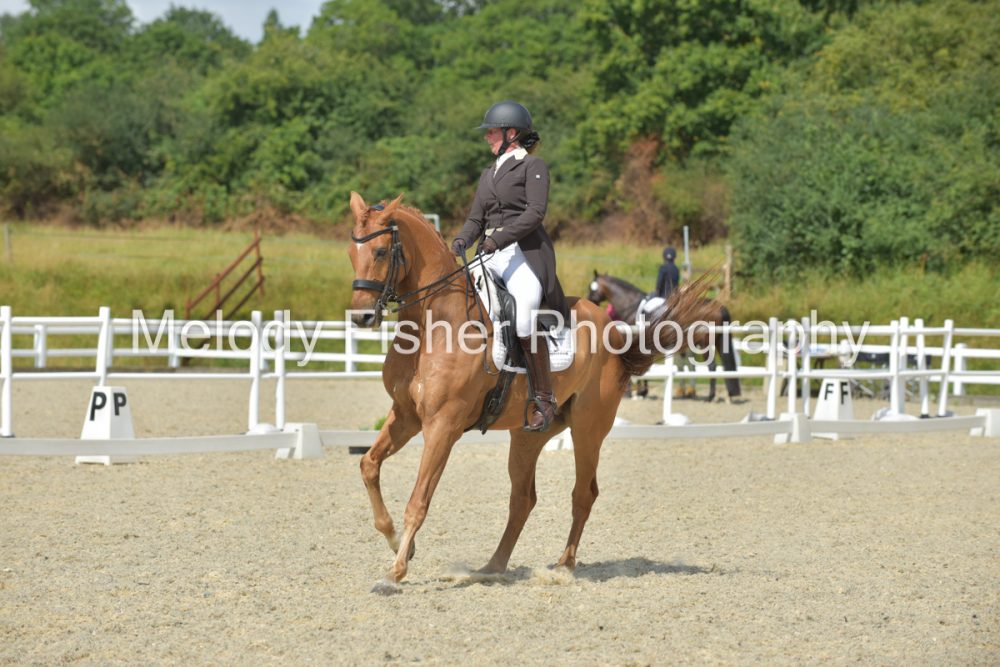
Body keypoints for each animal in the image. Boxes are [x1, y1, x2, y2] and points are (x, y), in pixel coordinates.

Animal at [347, 192, 719, 594]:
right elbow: (368, 466)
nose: (361, 318)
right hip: (528, 435)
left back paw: (562, 566)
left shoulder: (442, 425)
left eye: (381, 251)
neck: (435, 324)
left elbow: (419, 500)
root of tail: (612, 329)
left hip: (588, 430)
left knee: (583, 494)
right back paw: (491, 567)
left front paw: (394, 572)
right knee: (523, 499)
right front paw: (398, 543)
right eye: (352, 252)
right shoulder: (406, 415)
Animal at [586, 272, 741, 402]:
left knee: (712, 366)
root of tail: (719, 307)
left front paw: (640, 392)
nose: (589, 302)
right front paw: (642, 392)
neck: (631, 305)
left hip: (704, 343)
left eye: (592, 288)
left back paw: (710, 396)